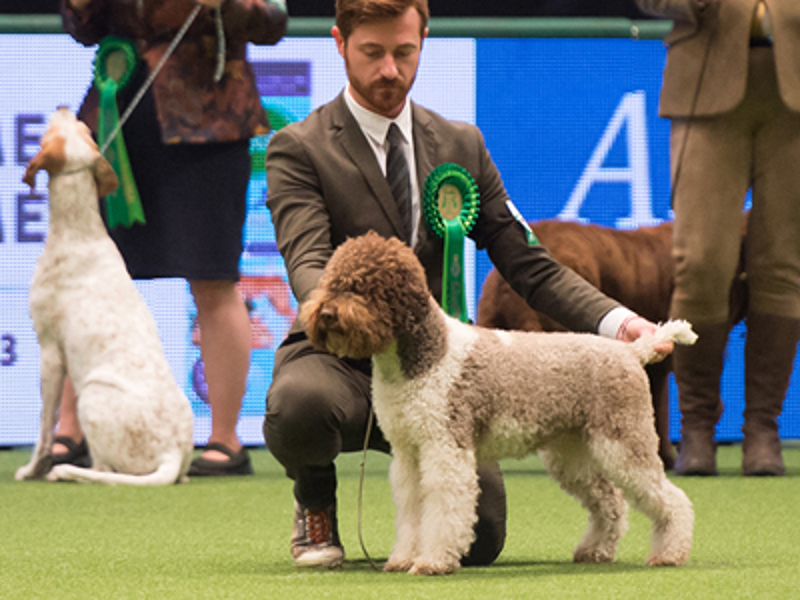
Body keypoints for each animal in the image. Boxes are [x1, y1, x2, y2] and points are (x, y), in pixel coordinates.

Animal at [15, 106, 194, 482]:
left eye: (51, 133)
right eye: (85, 129)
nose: (64, 107)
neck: (79, 232)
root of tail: (171, 452)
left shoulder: (50, 352)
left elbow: (45, 425)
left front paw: (33, 468)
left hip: (91, 395)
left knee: (102, 470)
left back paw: (63, 471)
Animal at [300, 231, 692, 576]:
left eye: (364, 286)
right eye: (332, 281)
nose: (326, 314)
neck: (425, 357)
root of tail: (631, 351)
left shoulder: (445, 448)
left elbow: (442, 508)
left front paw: (433, 561)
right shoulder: (409, 453)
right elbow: (412, 508)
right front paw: (402, 558)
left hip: (624, 442)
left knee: (671, 500)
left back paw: (669, 553)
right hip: (572, 454)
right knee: (610, 501)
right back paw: (595, 550)